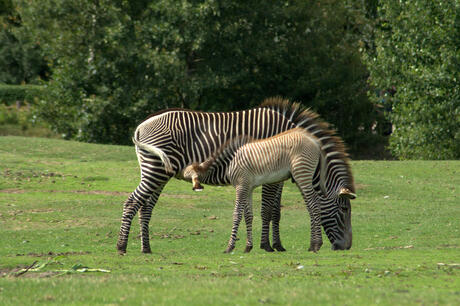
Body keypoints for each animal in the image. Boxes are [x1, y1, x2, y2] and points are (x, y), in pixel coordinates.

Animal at [117, 97, 348, 253]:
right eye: (344, 210)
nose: (345, 247)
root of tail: (141, 126)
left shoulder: (276, 176)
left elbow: (275, 211)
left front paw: (277, 245)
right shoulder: (271, 173)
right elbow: (267, 210)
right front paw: (266, 245)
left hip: (160, 171)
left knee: (145, 207)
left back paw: (146, 248)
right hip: (155, 169)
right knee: (133, 202)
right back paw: (121, 246)